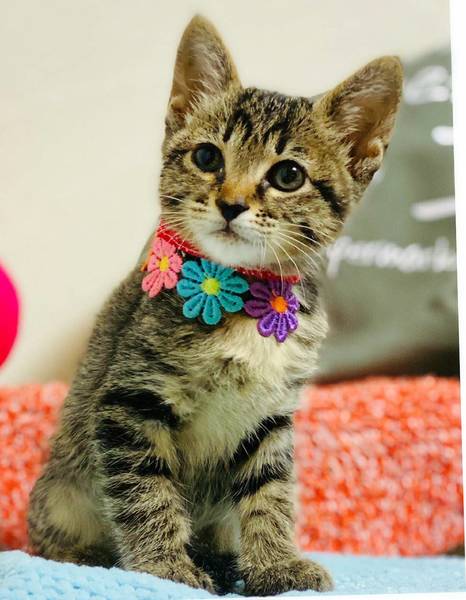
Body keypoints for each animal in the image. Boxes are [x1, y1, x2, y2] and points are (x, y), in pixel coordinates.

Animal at [28, 15, 402, 596]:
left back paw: (226, 561)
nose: (231, 203)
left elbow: (269, 493)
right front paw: (166, 569)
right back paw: (90, 557)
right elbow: (146, 492)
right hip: (59, 492)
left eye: (288, 175)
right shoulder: (129, 401)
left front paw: (275, 564)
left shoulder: (270, 417)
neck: (243, 300)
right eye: (207, 157)